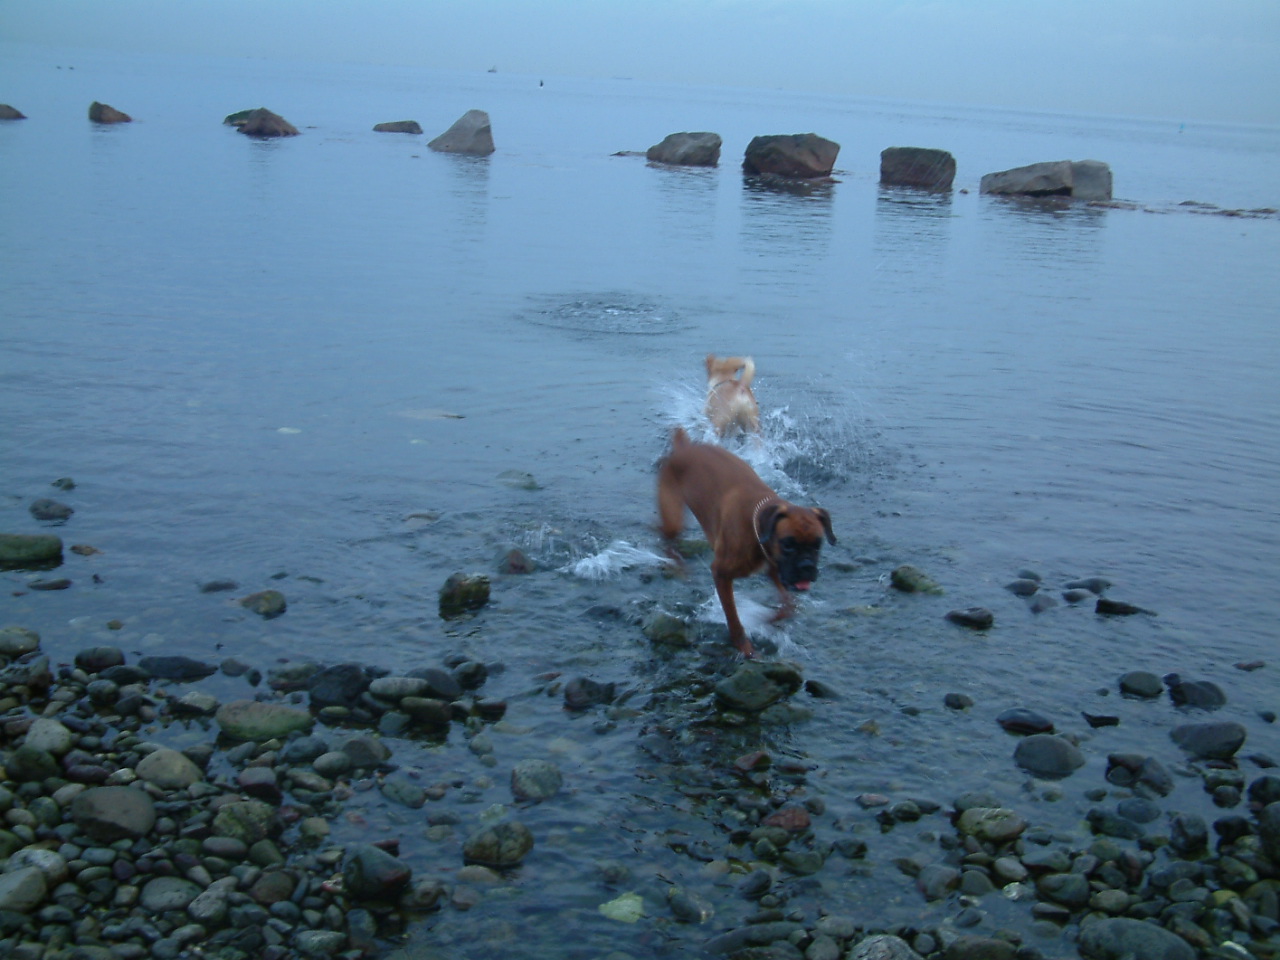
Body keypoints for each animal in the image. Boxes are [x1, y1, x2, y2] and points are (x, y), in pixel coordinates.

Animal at [657, 427, 835, 658]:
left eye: (817, 544)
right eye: (788, 544)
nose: (806, 566)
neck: (757, 525)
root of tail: (684, 446)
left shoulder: (773, 568)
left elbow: (789, 606)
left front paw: (769, 619)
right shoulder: (721, 574)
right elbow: (733, 617)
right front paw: (744, 646)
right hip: (672, 516)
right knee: (664, 537)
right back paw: (678, 566)